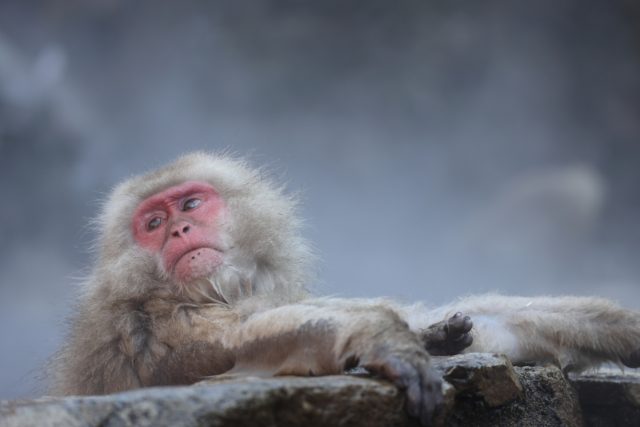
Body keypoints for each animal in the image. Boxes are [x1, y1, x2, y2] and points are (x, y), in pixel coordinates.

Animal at [48, 152, 640, 426]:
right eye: (152, 223)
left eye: (191, 204)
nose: (177, 231)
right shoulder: (156, 327)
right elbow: (252, 344)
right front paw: (386, 342)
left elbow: (497, 330)